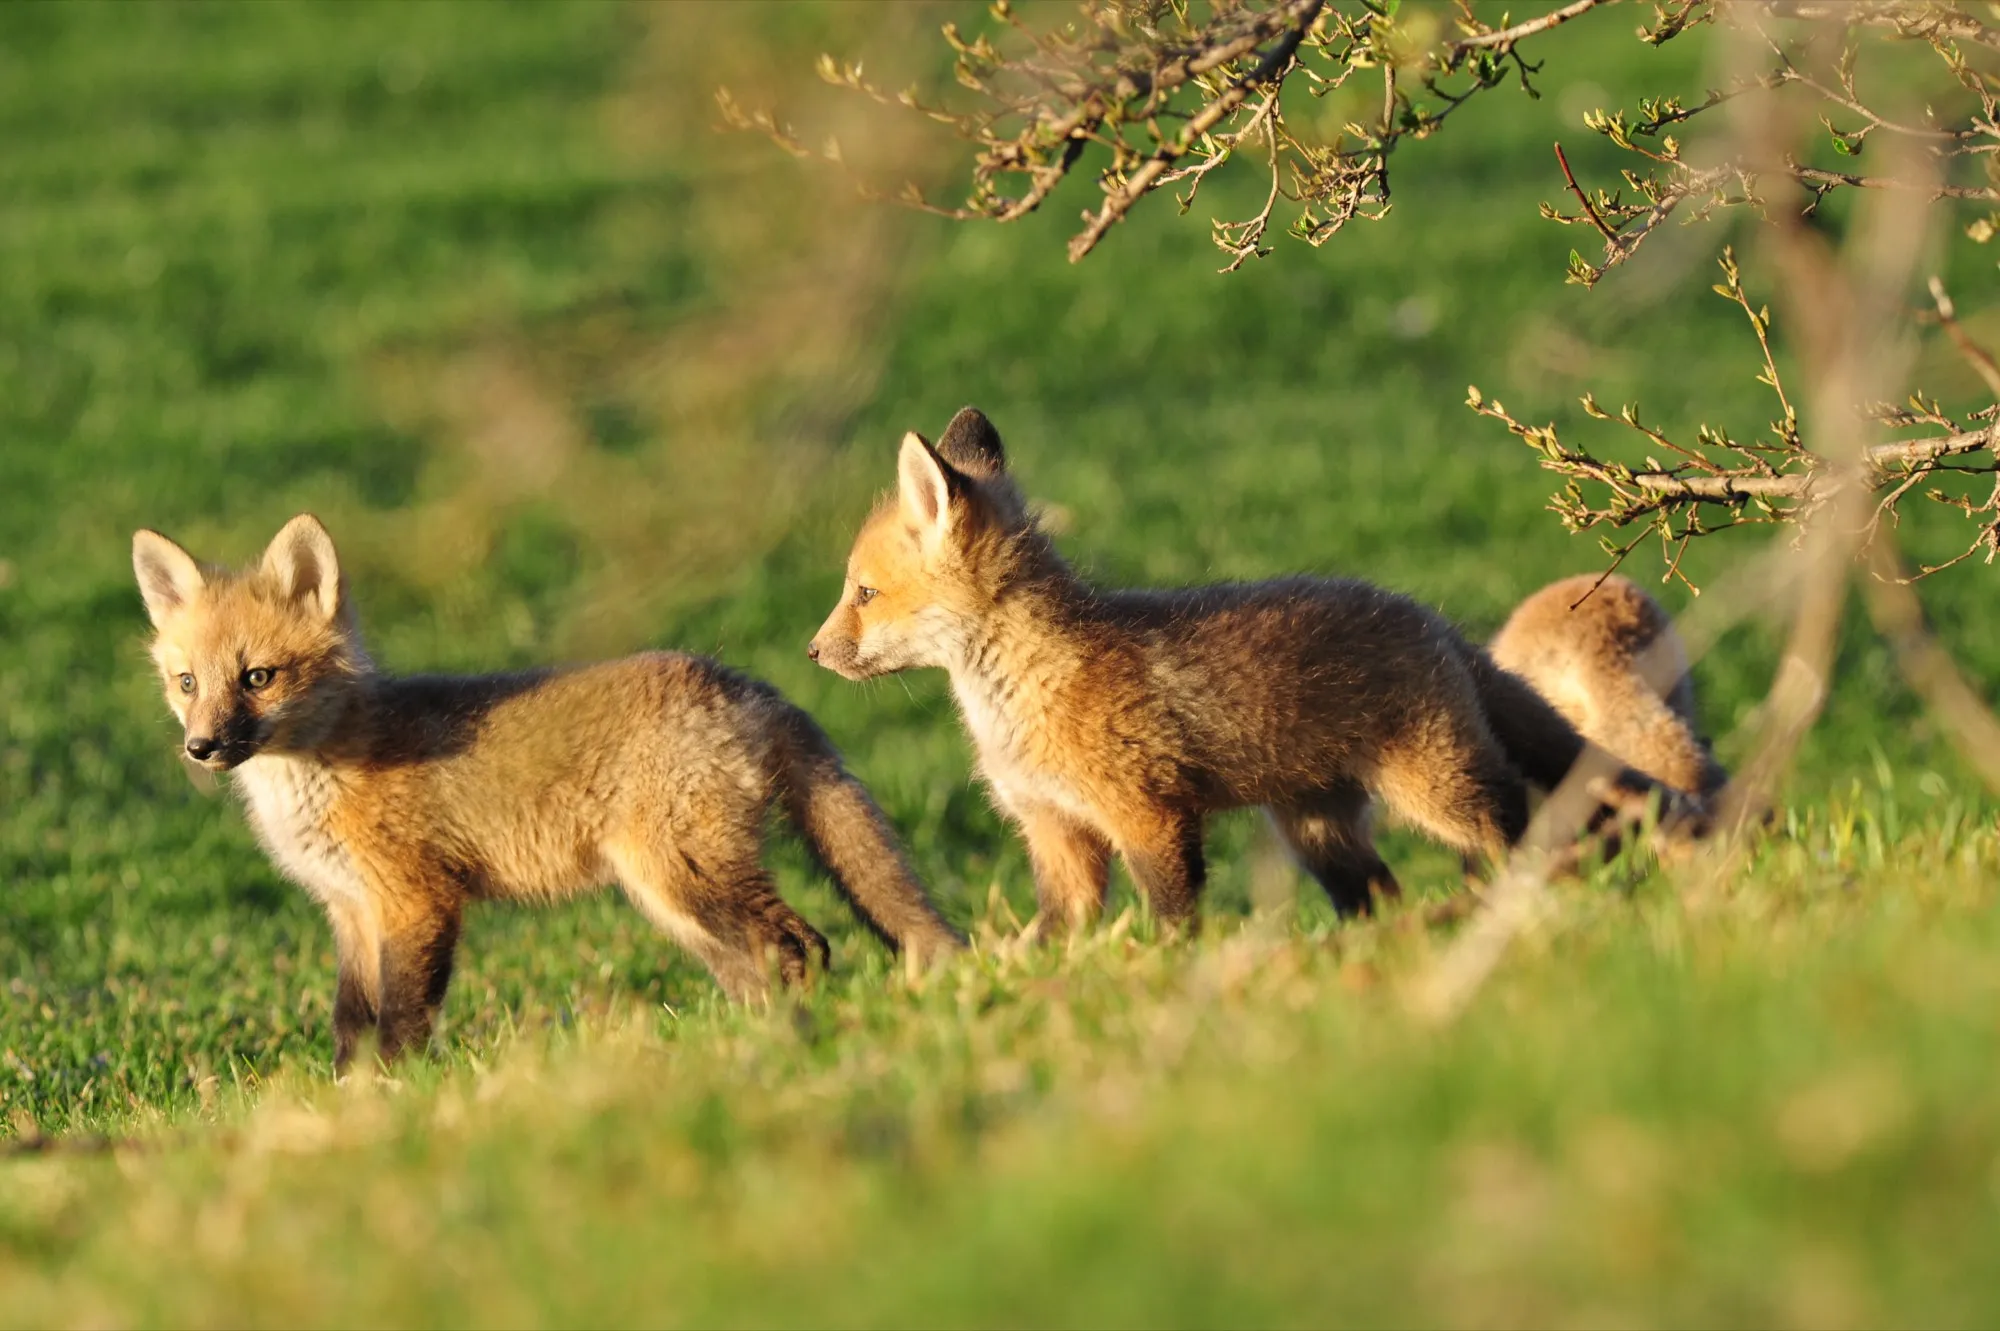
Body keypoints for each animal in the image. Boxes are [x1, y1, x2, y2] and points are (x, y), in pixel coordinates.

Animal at [133, 514, 963, 1071]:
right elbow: (350, 1025)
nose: (201, 748)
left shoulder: (417, 900)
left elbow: (402, 1020)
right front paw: (349, 1100)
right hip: (672, 898)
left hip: (685, 876)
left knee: (803, 944)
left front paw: (402, 1095)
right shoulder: (350, 911)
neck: (323, 772)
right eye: (188, 682)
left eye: (257, 677)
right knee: (758, 962)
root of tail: (734, 678)